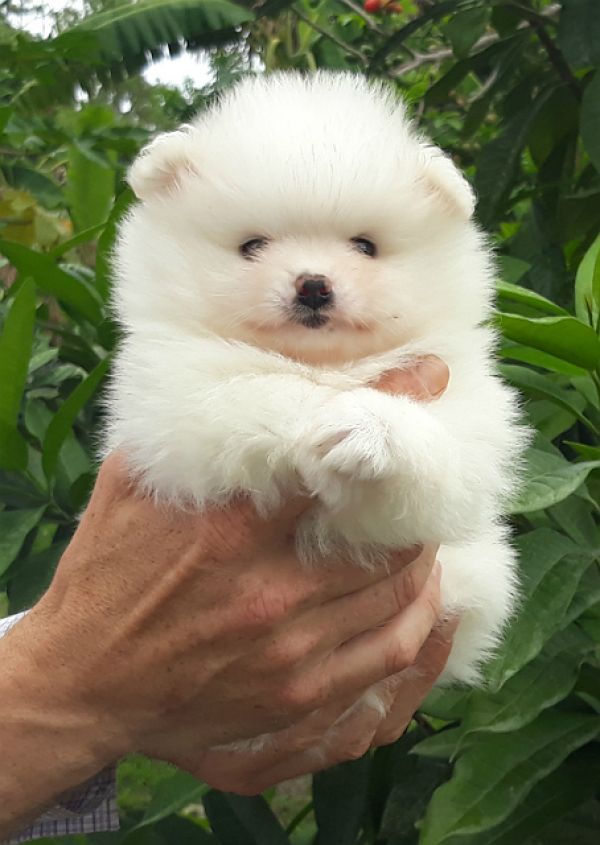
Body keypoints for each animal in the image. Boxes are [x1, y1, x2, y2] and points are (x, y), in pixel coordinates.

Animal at [108, 72, 524, 684]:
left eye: (365, 246)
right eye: (252, 245)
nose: (313, 285)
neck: (325, 364)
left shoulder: (466, 412)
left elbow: (443, 456)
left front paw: (373, 429)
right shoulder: (170, 401)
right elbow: (257, 392)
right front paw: (323, 413)